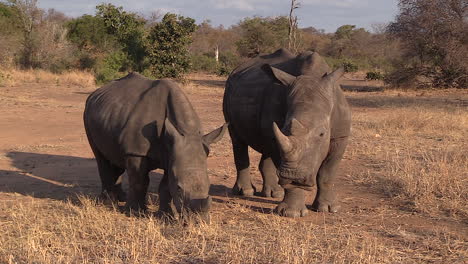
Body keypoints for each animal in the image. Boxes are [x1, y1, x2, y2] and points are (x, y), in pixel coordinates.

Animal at [223, 48, 352, 217]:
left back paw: (273, 194)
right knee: (238, 139)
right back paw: (246, 192)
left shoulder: (340, 136)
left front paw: (329, 209)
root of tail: (237, 69)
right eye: (284, 128)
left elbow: (327, 172)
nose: (293, 175)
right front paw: (291, 213)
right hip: (228, 89)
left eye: (322, 134)